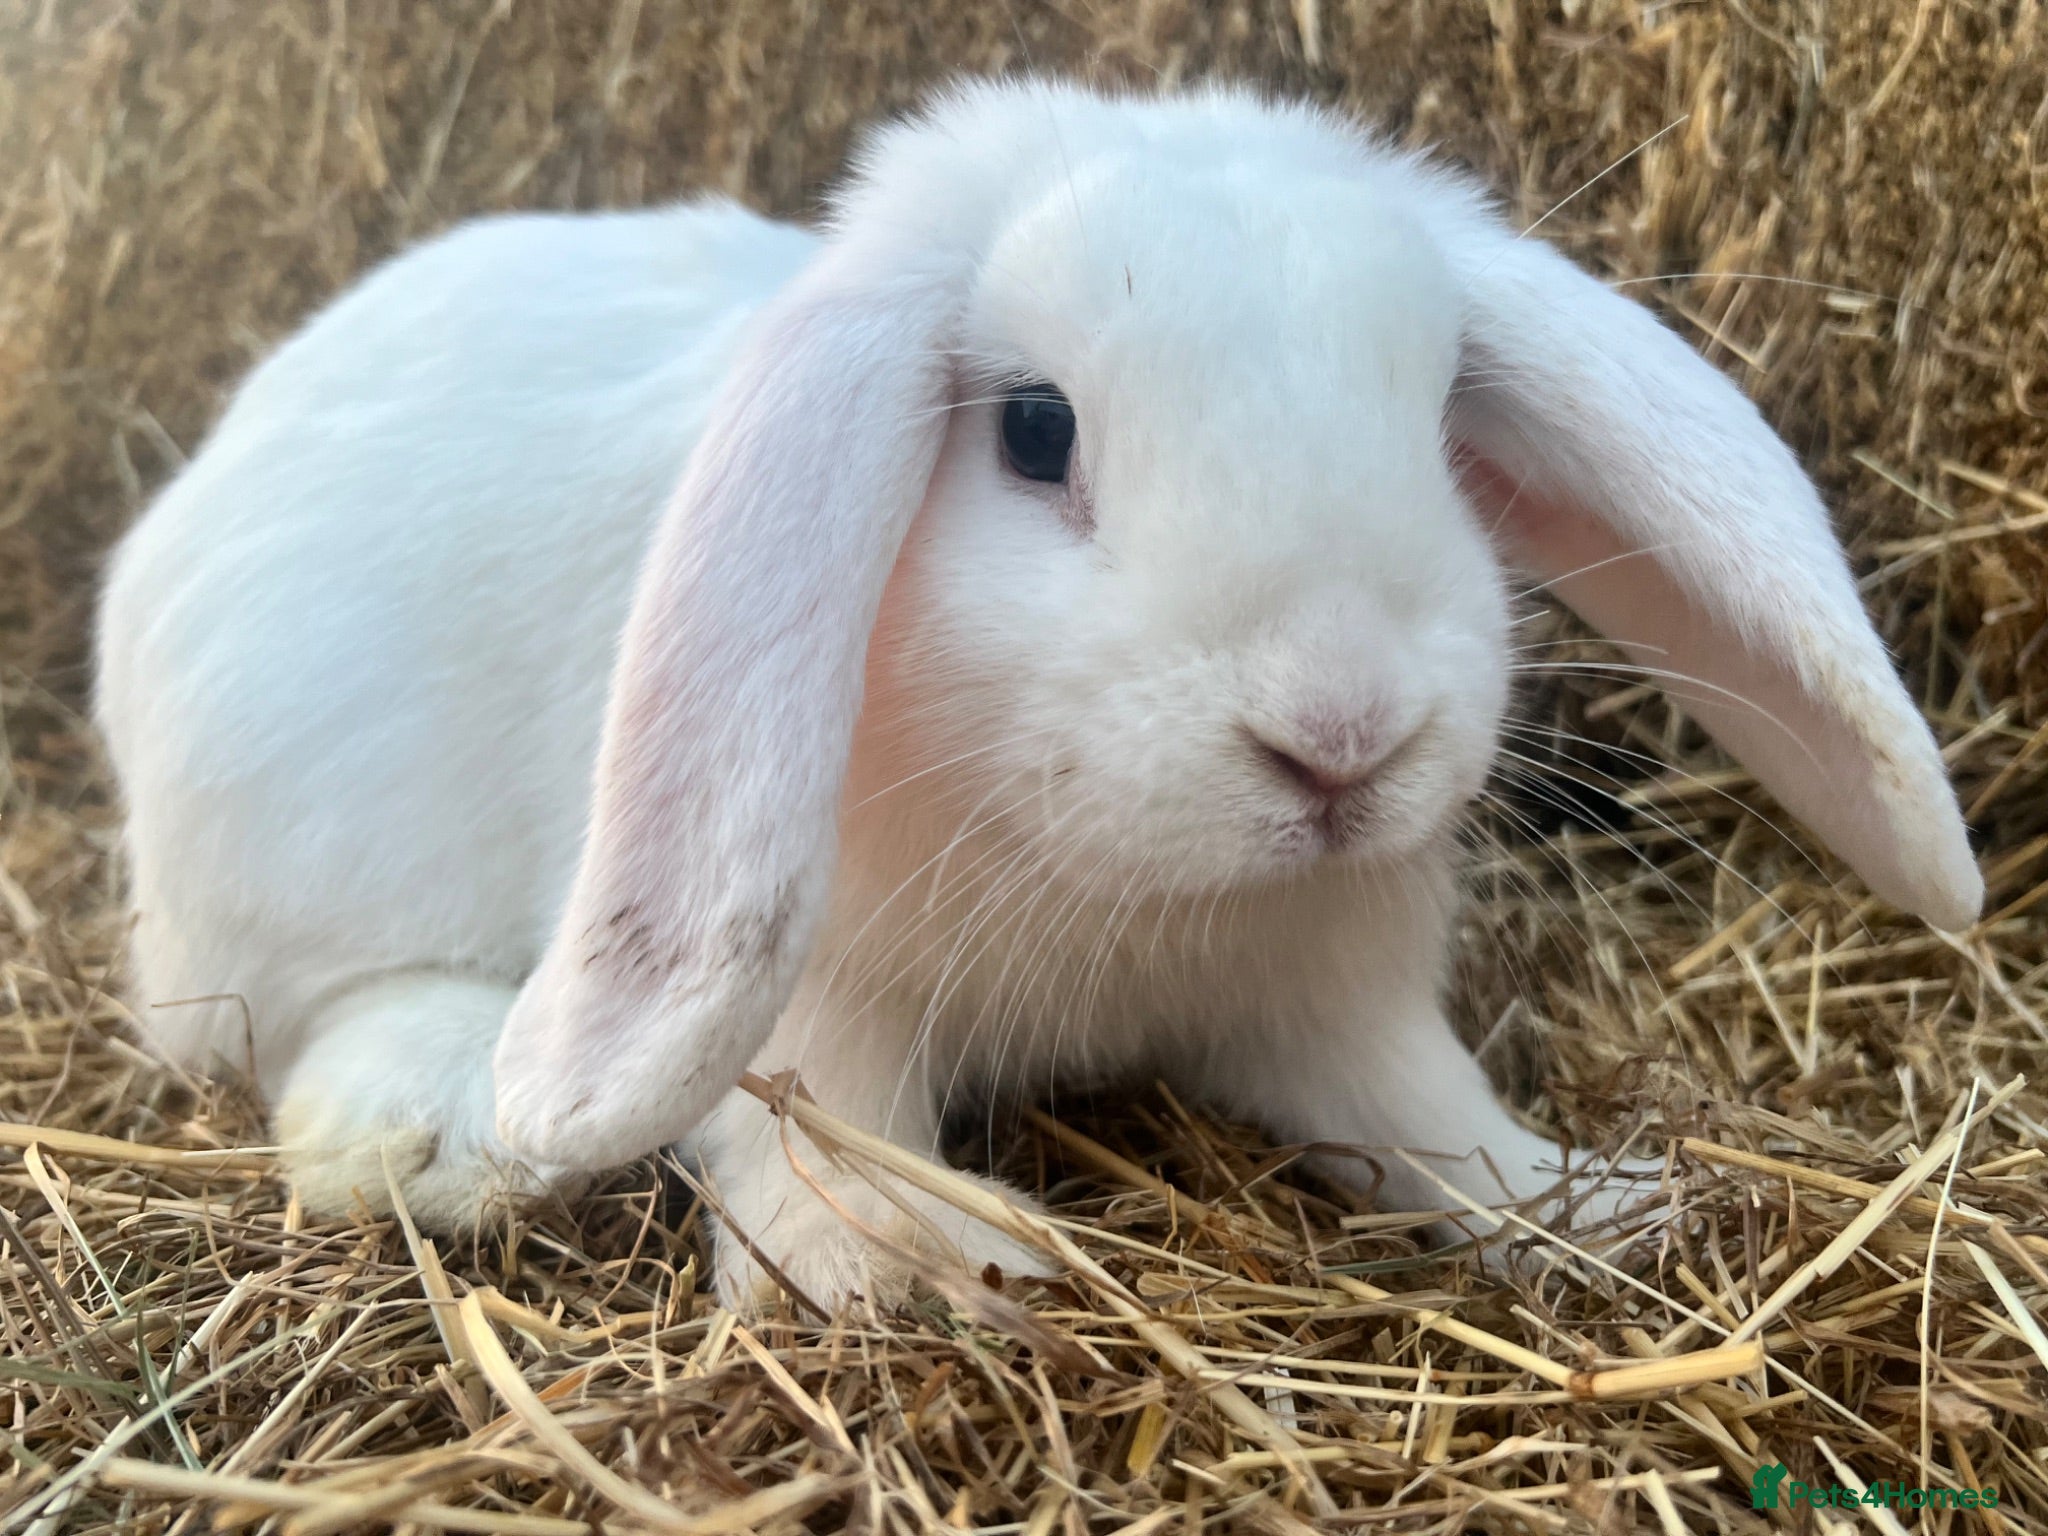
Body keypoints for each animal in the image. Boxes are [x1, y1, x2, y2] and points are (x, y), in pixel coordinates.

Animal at [97, 79, 1981, 1311]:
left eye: (1435, 413)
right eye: (1033, 429)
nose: (1340, 741)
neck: (1131, 874)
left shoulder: (1339, 1006)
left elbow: (1430, 1124)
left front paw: (1599, 1207)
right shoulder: (814, 1005)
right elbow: (828, 1139)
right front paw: (932, 1270)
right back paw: (427, 1127)